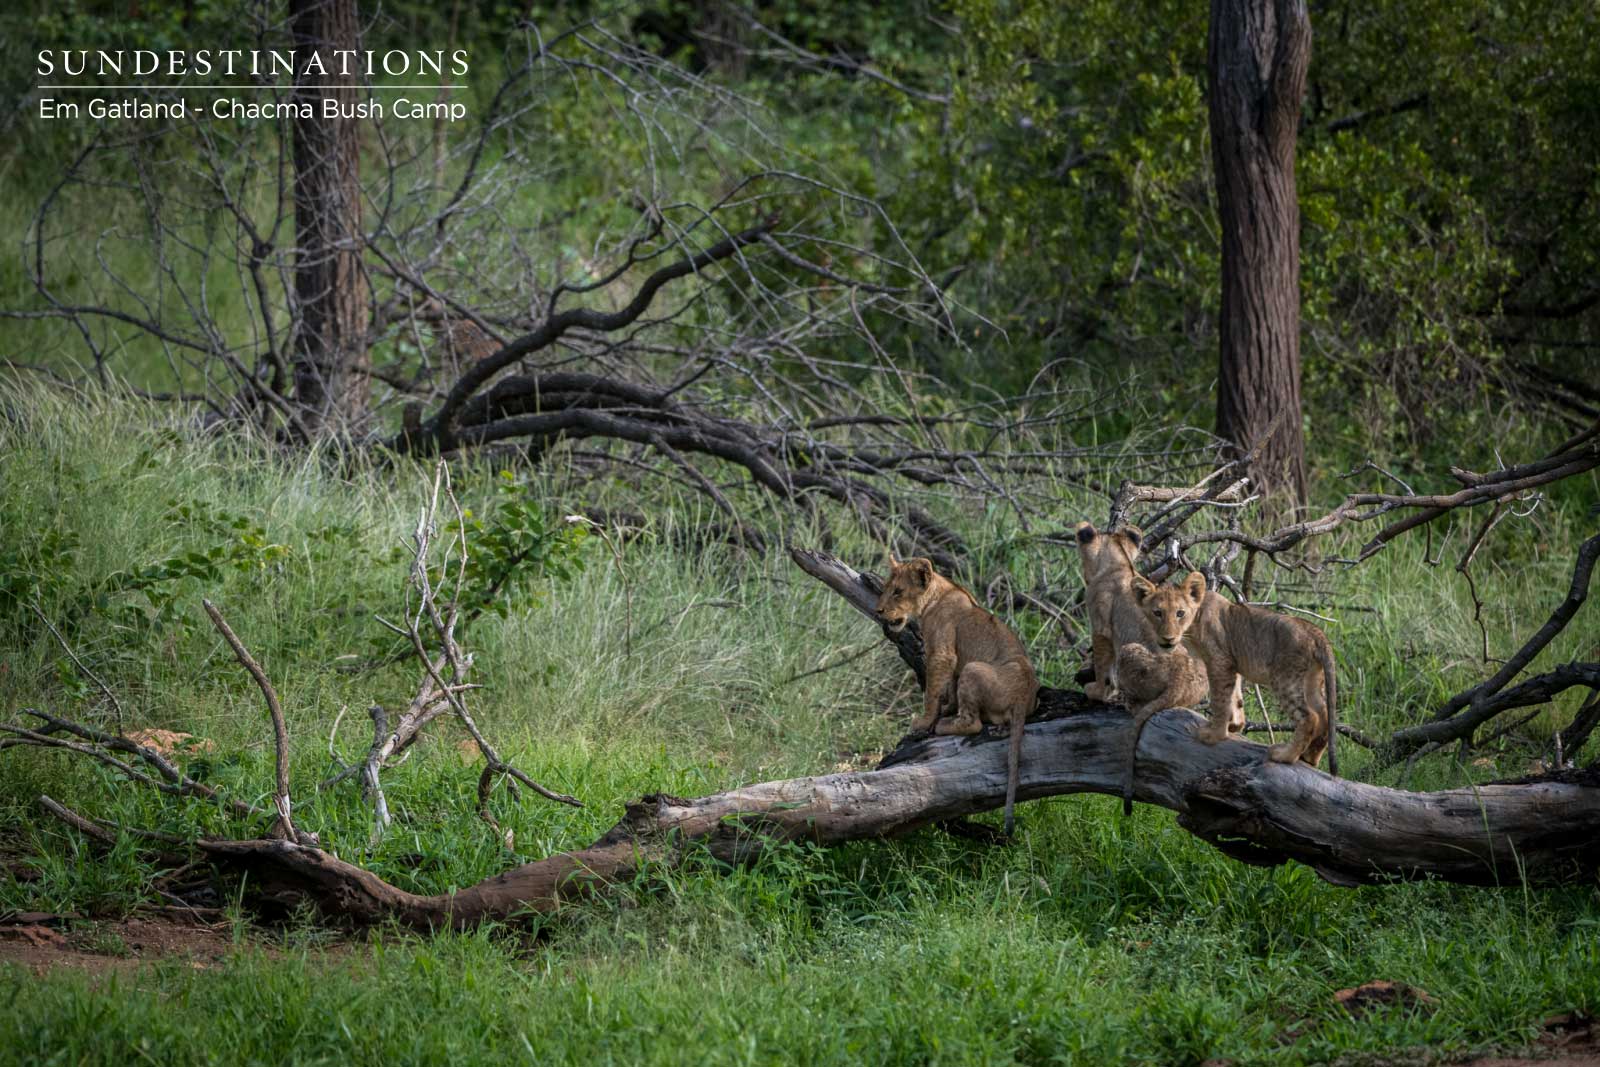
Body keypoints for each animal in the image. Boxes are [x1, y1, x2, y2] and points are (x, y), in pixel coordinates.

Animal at [876, 555, 1038, 834]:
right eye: (886, 588)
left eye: (897, 592)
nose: (878, 611)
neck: (937, 595)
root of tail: (1023, 694)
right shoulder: (952, 662)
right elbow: (948, 689)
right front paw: (947, 707)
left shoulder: (941, 654)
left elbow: (932, 691)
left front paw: (925, 721)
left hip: (973, 668)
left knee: (973, 724)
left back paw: (943, 725)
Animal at [1075, 522, 1222, 813]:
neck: (1118, 563)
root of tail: (1180, 681)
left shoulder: (1101, 627)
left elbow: (1102, 665)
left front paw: (1096, 690)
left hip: (1129, 651)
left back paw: (1125, 700)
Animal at [1130, 570, 1339, 774]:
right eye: (1157, 613)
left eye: (1180, 613)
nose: (1168, 638)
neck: (1194, 623)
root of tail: (1315, 630)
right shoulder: (1232, 663)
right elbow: (1235, 697)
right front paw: (1235, 726)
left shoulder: (1219, 661)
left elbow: (1220, 701)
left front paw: (1214, 735)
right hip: (1311, 679)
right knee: (1324, 714)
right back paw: (1310, 757)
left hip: (1285, 679)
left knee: (1309, 717)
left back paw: (1285, 755)